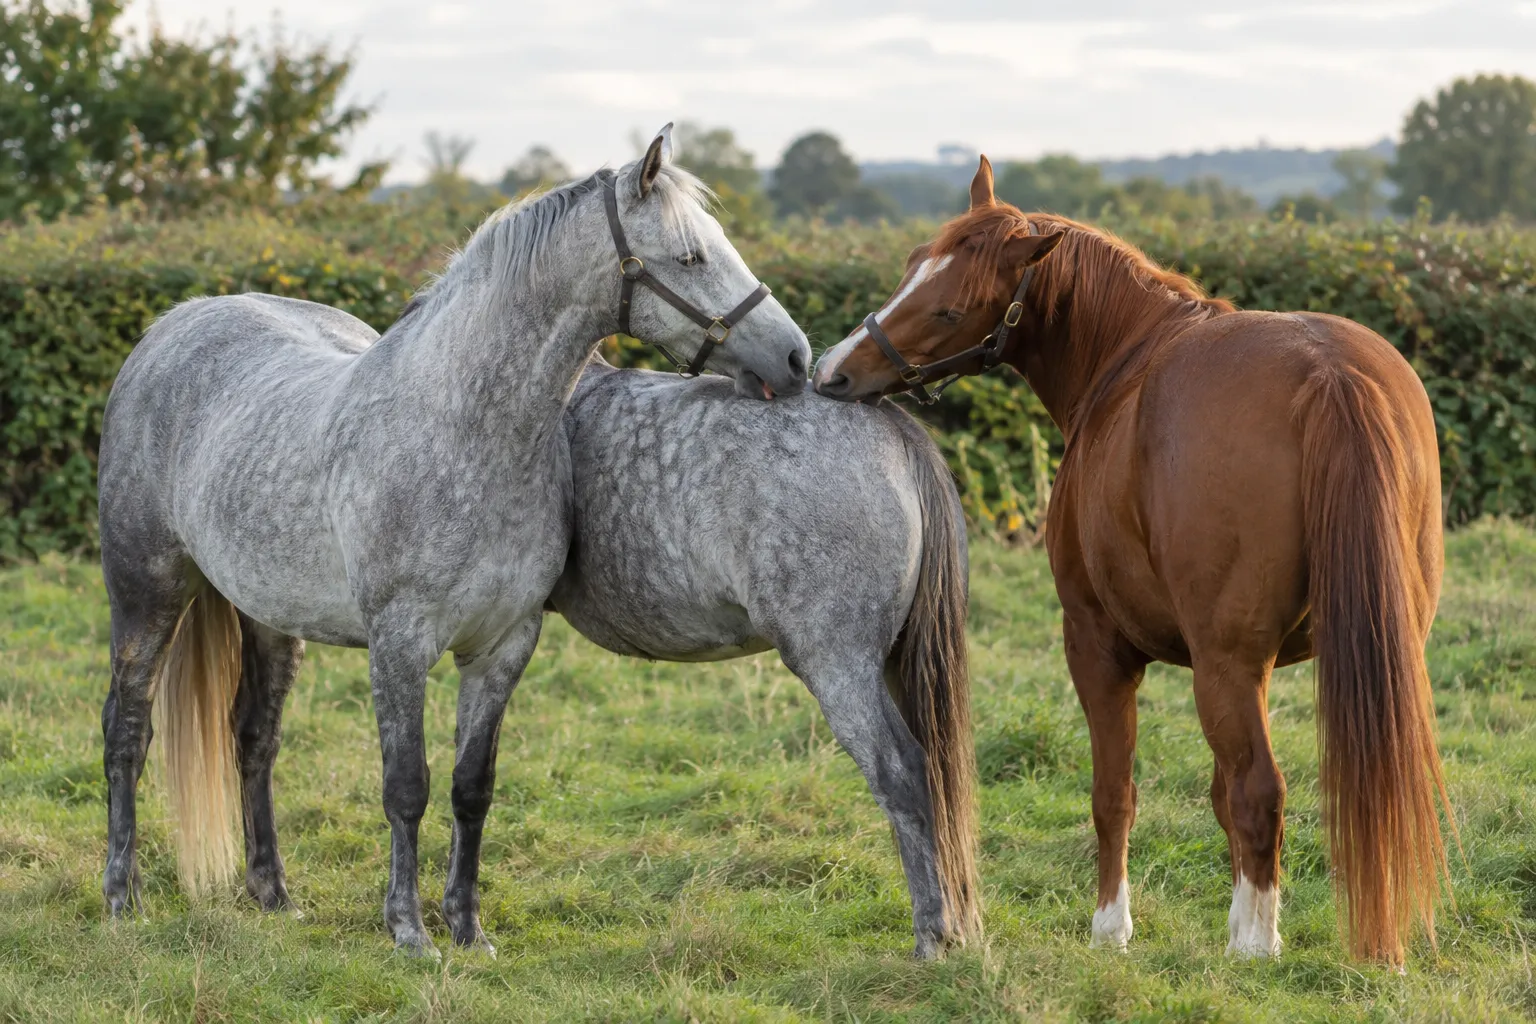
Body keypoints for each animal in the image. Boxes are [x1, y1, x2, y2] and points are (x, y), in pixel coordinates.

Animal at [95, 125, 812, 957]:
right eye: (691, 256)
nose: (795, 358)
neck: (463, 430)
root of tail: (170, 326)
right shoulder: (400, 645)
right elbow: (406, 785)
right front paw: (409, 930)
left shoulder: (504, 645)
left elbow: (473, 788)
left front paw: (467, 929)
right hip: (147, 595)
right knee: (128, 730)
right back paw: (122, 897)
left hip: (269, 617)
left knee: (254, 740)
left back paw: (273, 894)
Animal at [811, 156, 1449, 966]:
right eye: (910, 267)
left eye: (951, 310)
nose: (833, 372)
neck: (1126, 358)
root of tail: (1327, 375)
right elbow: (1214, 793)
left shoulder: (1098, 645)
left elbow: (1115, 794)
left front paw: (1110, 927)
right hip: (1375, 648)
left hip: (1225, 663)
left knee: (1260, 790)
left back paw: (1255, 946)